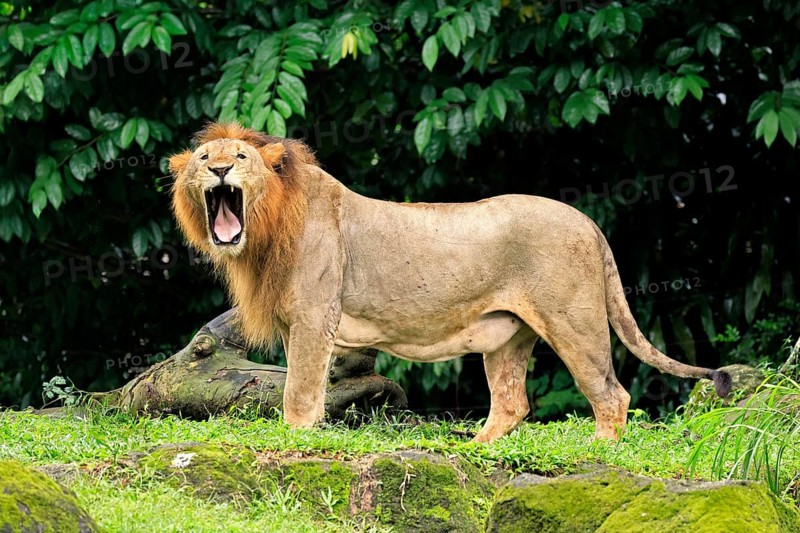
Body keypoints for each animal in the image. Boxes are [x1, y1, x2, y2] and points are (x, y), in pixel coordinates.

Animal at [169, 122, 732, 442]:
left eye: (241, 158)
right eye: (203, 159)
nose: (219, 169)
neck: (265, 231)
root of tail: (589, 222)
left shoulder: (312, 317)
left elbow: (301, 390)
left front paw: (297, 441)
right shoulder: (292, 325)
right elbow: (299, 383)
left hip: (575, 323)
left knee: (612, 395)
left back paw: (597, 449)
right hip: (508, 336)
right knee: (513, 402)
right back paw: (474, 448)